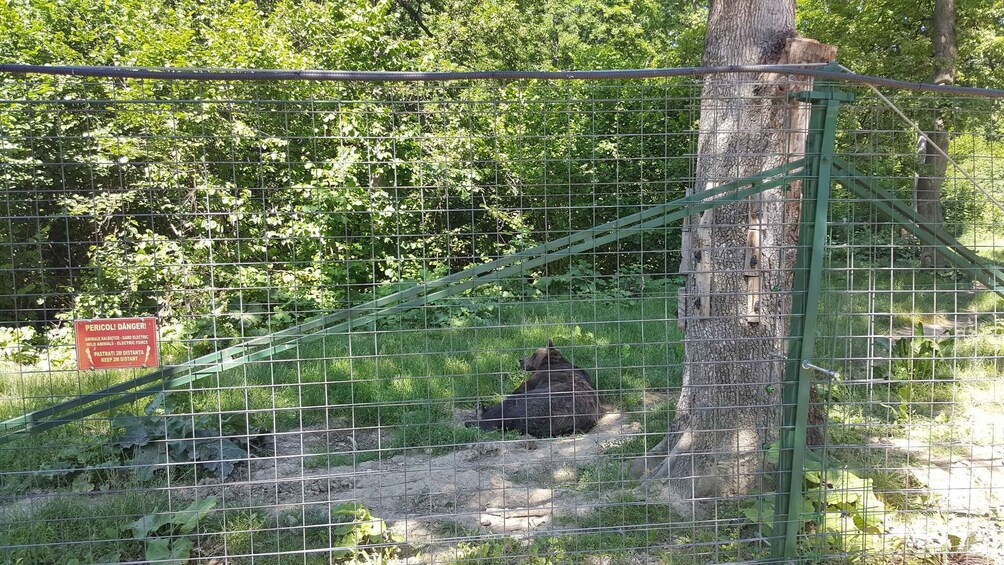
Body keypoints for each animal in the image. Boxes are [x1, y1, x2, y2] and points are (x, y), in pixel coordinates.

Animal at [467, 339, 598, 439]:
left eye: (534, 354)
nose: (521, 360)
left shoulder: (537, 379)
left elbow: (519, 389)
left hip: (535, 403)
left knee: (505, 408)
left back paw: (479, 412)